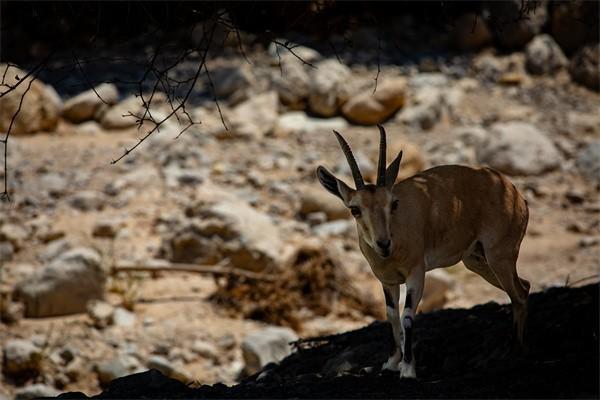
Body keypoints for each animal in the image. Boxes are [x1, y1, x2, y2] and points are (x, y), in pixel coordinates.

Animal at [316, 126, 528, 378]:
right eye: (355, 209)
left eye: (393, 203)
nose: (383, 244)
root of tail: (515, 194)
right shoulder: (387, 281)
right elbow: (391, 315)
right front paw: (392, 362)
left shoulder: (416, 274)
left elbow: (407, 316)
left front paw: (408, 369)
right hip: (478, 261)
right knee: (524, 287)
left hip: (499, 256)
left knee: (518, 295)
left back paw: (513, 350)